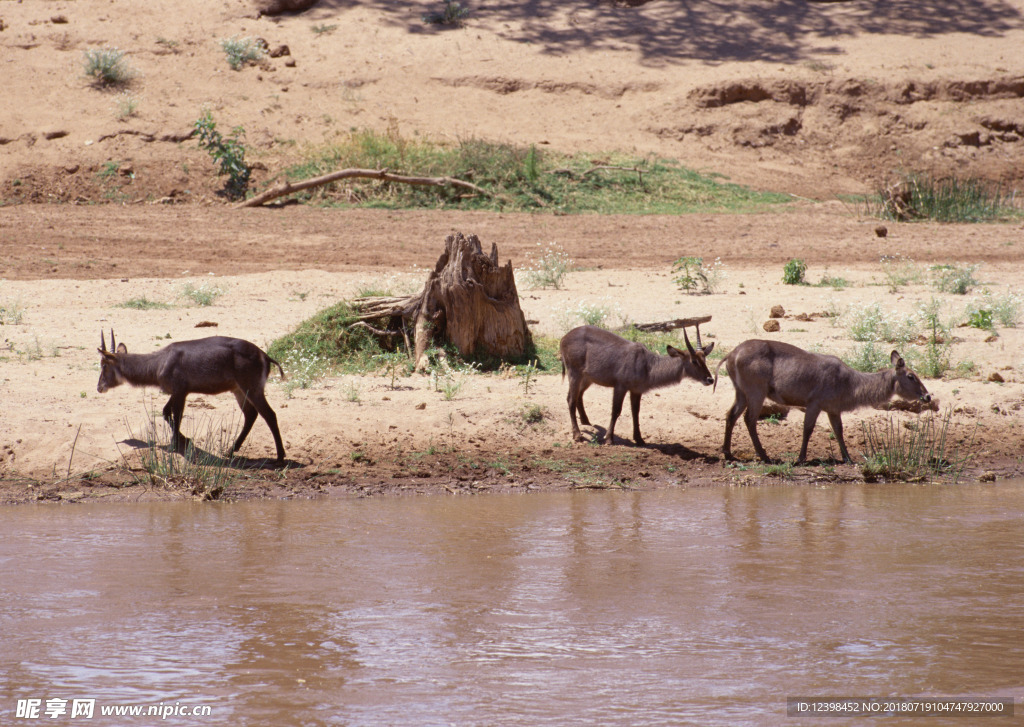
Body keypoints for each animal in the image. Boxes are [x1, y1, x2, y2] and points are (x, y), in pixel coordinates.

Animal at [96, 329, 288, 460]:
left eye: (103, 365)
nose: (99, 387)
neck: (159, 363)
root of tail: (264, 355)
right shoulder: (178, 392)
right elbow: (166, 412)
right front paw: (184, 439)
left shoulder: (180, 391)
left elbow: (177, 415)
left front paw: (175, 445)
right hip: (238, 390)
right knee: (251, 414)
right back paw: (230, 450)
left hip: (252, 388)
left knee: (269, 414)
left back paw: (280, 456)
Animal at [561, 327, 712, 446]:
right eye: (694, 361)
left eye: (704, 359)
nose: (710, 379)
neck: (647, 365)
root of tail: (564, 337)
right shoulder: (620, 386)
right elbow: (616, 410)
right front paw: (609, 439)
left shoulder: (636, 390)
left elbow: (636, 412)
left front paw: (639, 439)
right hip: (574, 372)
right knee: (570, 399)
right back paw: (578, 435)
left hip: (587, 377)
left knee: (578, 395)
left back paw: (586, 421)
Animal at [716, 337, 933, 464]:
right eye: (912, 376)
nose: (928, 396)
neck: (850, 382)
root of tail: (731, 353)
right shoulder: (815, 404)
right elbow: (808, 429)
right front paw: (801, 458)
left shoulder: (833, 409)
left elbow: (839, 431)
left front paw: (848, 458)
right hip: (756, 392)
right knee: (749, 419)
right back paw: (764, 456)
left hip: (741, 393)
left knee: (730, 415)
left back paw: (728, 453)